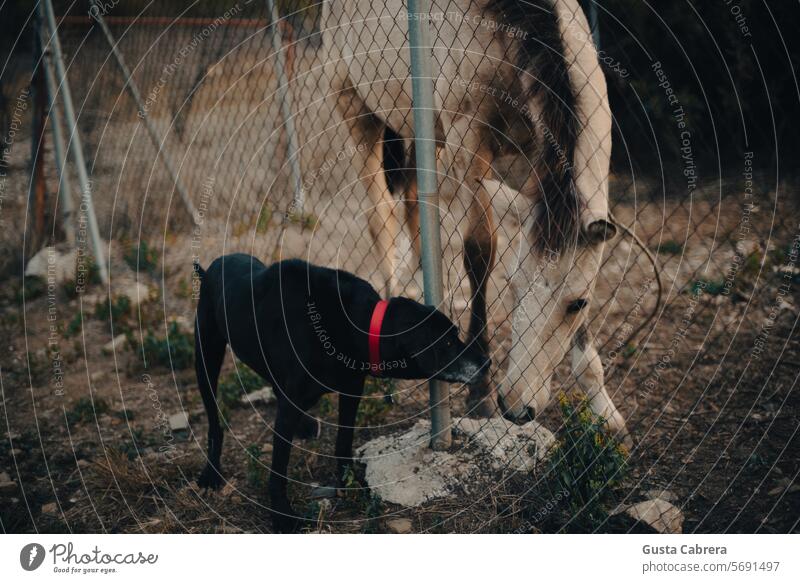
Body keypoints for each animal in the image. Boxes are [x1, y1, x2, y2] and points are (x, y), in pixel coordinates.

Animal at [194, 256, 488, 532]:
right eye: (447, 342)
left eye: (455, 334)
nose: (487, 362)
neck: (354, 325)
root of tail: (213, 265)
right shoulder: (291, 404)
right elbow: (278, 465)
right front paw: (282, 515)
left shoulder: (351, 391)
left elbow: (343, 442)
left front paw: (351, 484)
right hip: (206, 356)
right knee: (214, 422)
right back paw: (211, 473)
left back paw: (305, 425)